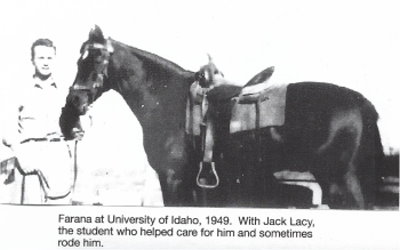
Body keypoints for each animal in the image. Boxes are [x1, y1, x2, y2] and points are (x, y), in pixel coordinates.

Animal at [60, 26, 384, 209]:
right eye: (78, 60)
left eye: (96, 59)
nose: (74, 102)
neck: (166, 99)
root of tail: (362, 102)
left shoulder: (173, 179)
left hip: (340, 180)